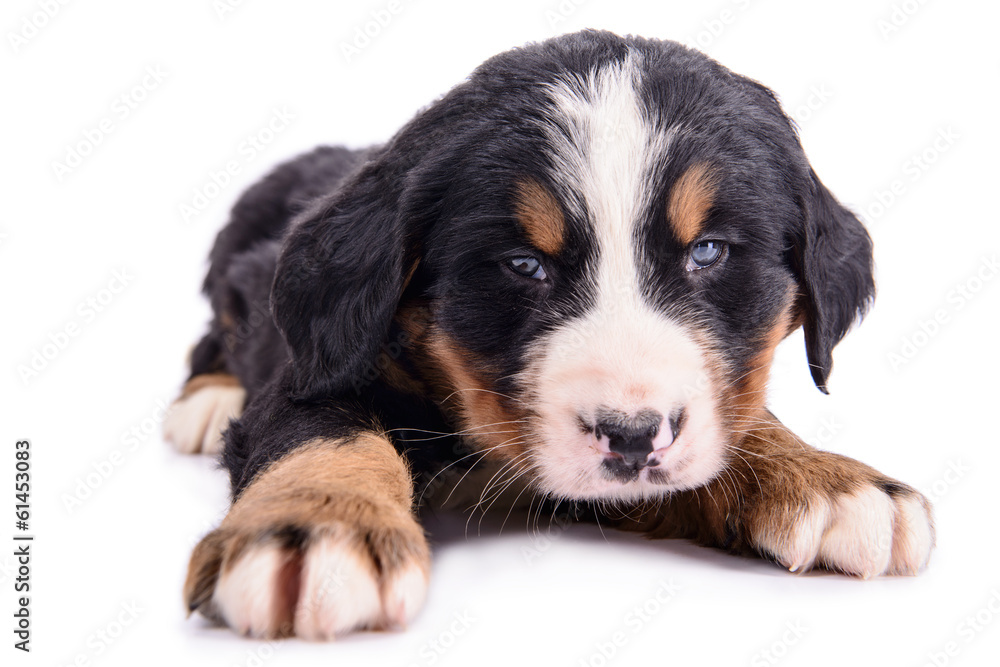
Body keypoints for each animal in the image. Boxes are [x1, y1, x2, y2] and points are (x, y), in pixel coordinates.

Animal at [166, 28, 936, 640]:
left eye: (710, 251)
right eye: (523, 265)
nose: (632, 437)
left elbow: (738, 420)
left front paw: (826, 479)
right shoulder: (320, 365)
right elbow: (325, 429)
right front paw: (316, 528)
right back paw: (206, 402)